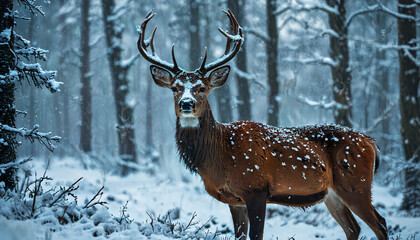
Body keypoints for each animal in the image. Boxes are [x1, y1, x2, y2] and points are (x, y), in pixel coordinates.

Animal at [137, 9, 388, 240]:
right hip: (332, 194)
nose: (186, 104)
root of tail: (371, 143)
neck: (219, 156)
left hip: (356, 185)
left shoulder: (255, 188)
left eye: (202, 88)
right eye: (175, 88)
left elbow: (256, 235)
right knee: (353, 228)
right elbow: (239, 235)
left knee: (380, 223)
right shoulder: (234, 200)